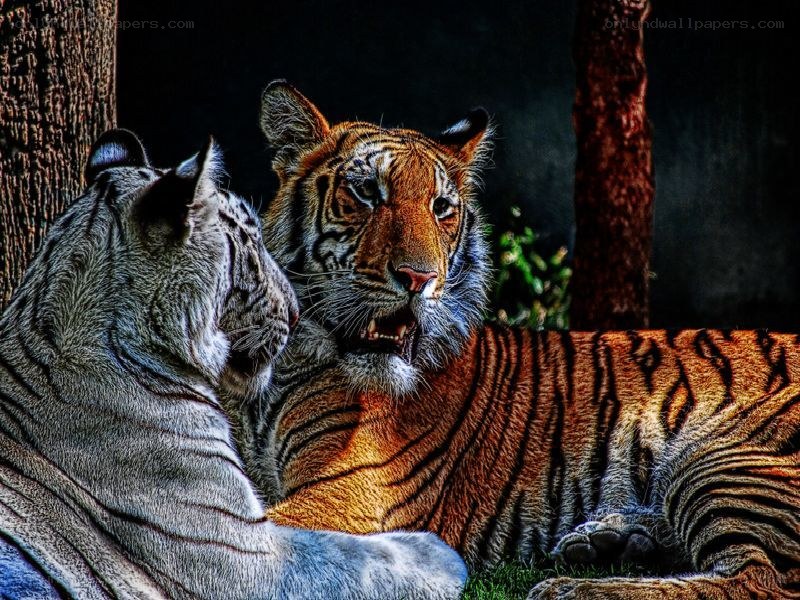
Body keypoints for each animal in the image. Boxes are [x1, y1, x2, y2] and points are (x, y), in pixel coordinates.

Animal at [227, 80, 800, 599]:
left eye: (441, 207)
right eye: (367, 193)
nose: (419, 278)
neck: (286, 364)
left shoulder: (345, 493)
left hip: (718, 460)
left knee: (759, 581)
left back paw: (572, 587)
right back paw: (608, 540)